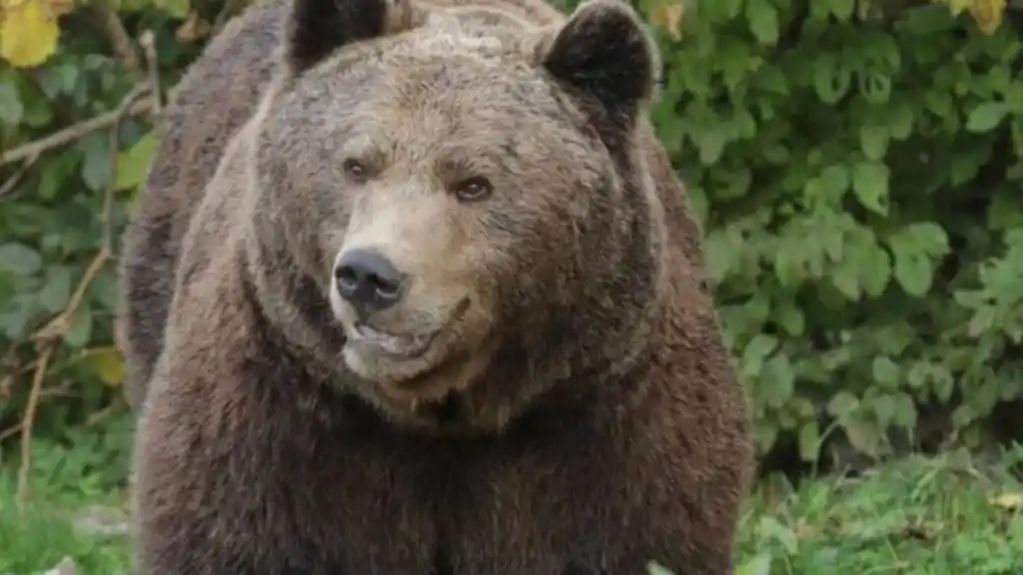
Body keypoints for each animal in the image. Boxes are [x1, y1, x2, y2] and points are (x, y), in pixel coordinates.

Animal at [123, 0, 757, 568]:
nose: (368, 276)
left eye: (473, 183)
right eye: (356, 164)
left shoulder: (603, 416)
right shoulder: (283, 411)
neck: (442, 414)